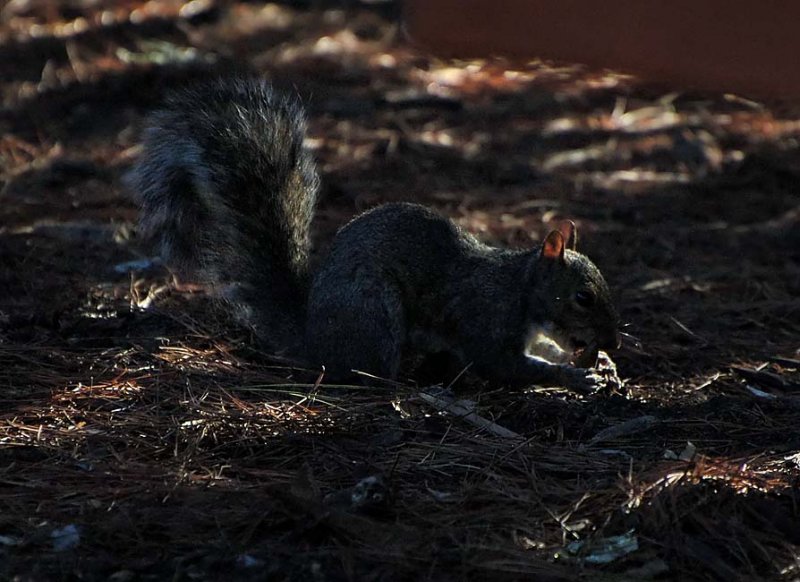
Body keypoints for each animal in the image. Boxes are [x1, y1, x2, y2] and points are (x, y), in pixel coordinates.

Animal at [128, 77, 620, 392]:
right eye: (583, 298)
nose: (613, 341)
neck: (520, 289)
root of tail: (314, 339)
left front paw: (604, 367)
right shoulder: (487, 319)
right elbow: (504, 366)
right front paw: (577, 376)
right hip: (373, 311)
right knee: (366, 375)